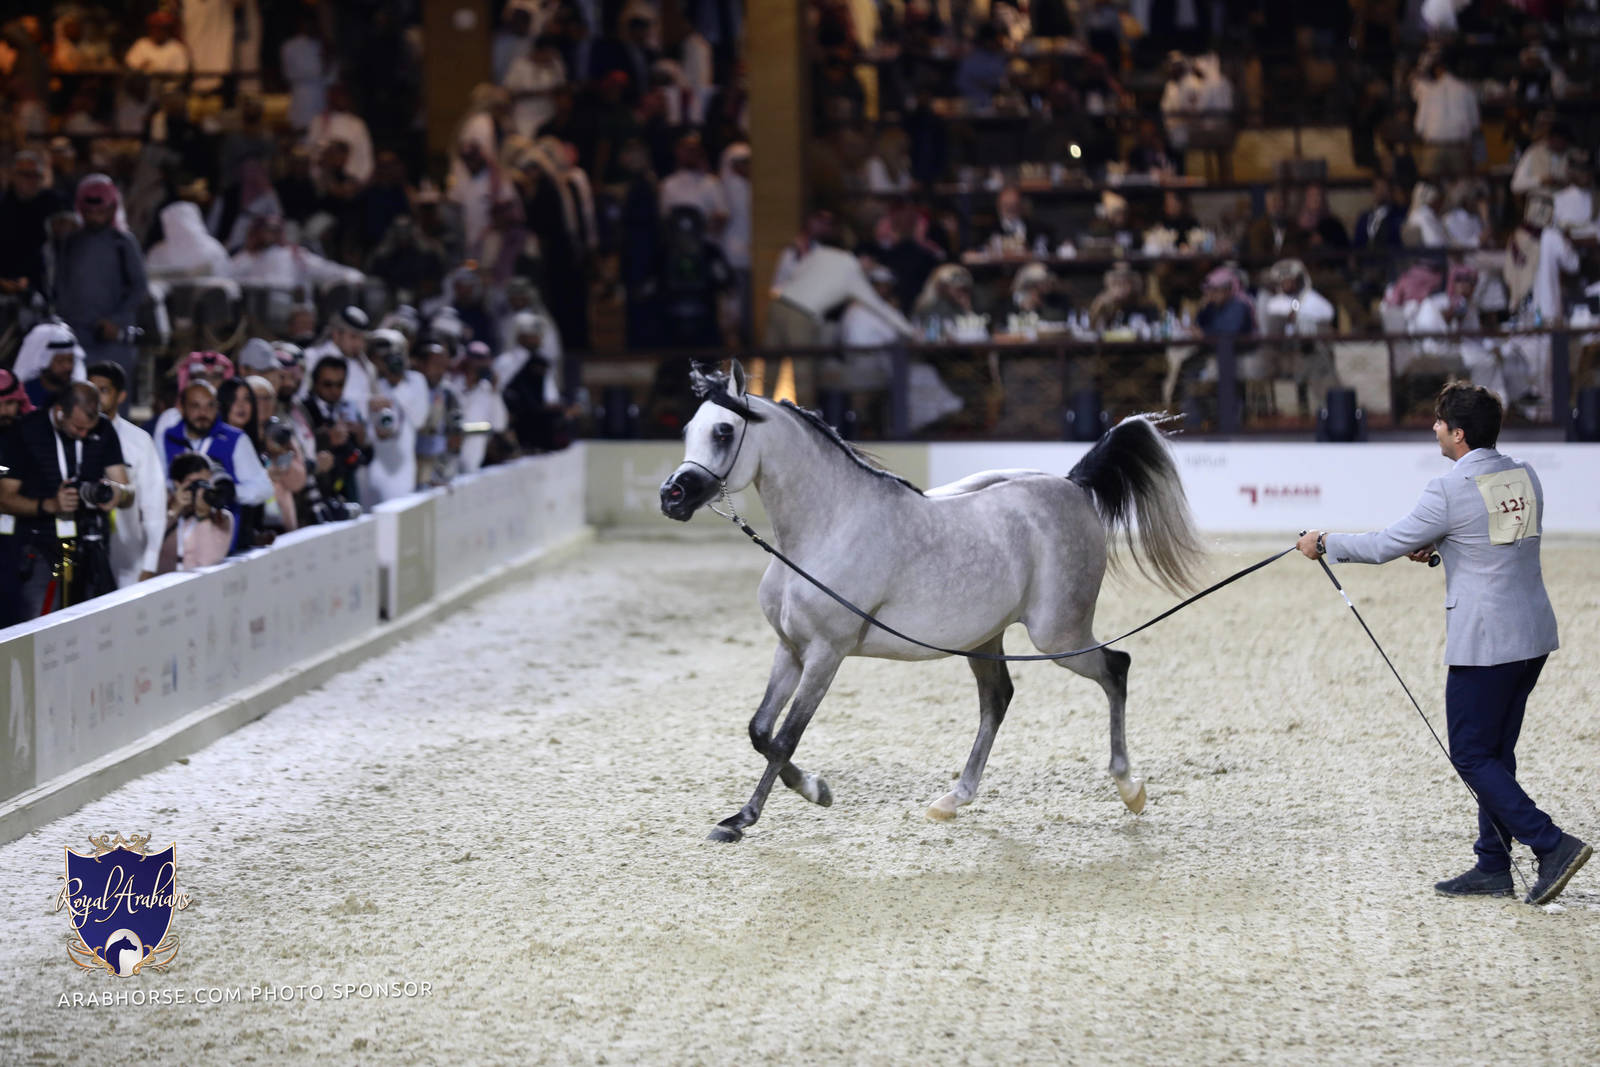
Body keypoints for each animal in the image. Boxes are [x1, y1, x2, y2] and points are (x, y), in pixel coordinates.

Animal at [659, 360, 1204, 843]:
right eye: (688, 428)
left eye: (724, 431)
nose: (672, 497)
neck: (826, 528)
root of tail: (1071, 485)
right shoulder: (790, 650)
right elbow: (760, 730)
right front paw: (811, 791)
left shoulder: (826, 654)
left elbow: (785, 737)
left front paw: (749, 817)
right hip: (986, 638)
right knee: (997, 700)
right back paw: (953, 800)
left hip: (1058, 635)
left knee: (1116, 668)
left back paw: (1130, 788)